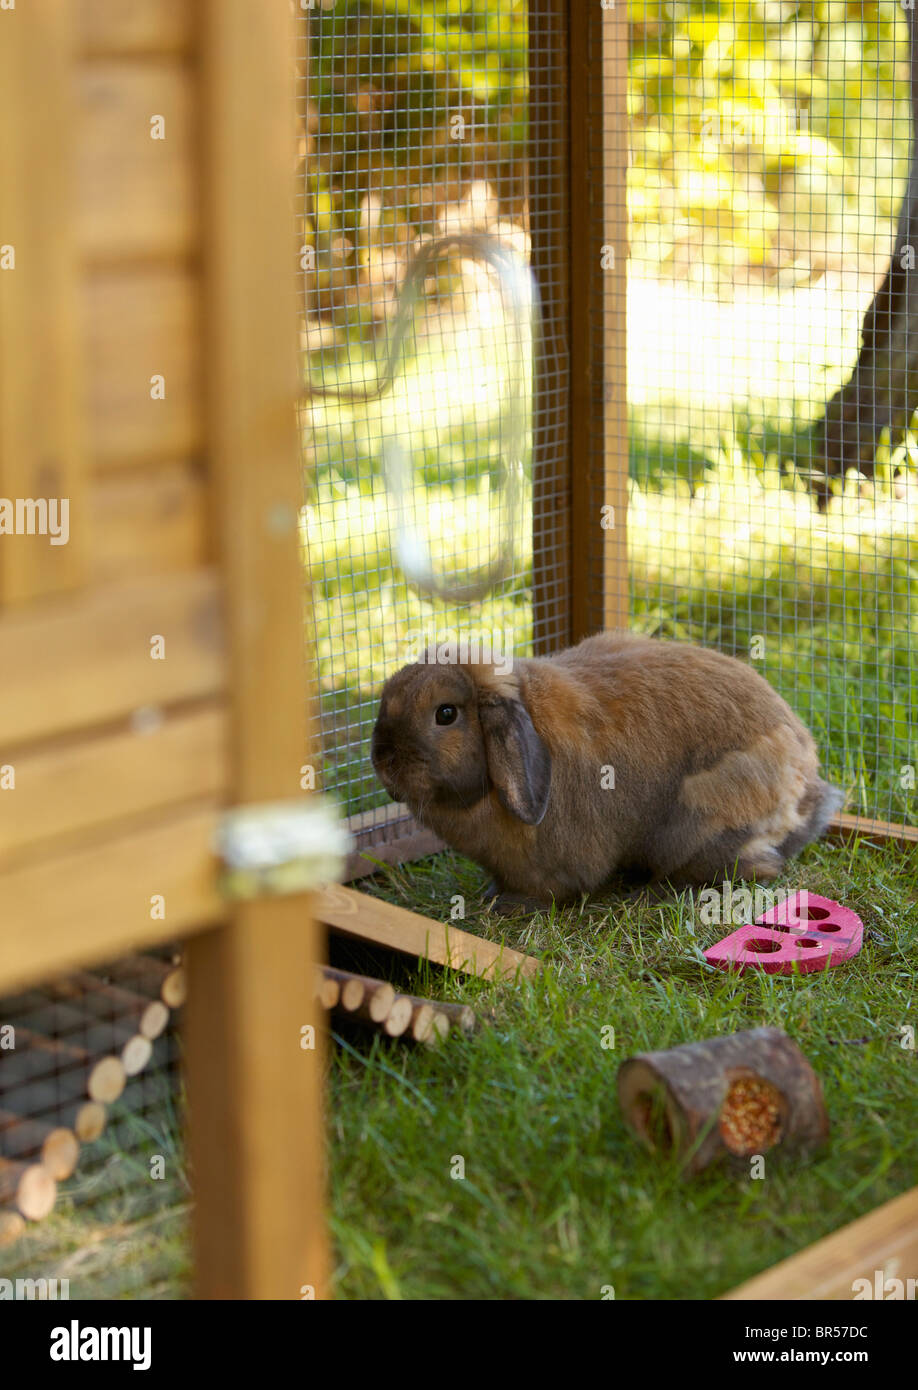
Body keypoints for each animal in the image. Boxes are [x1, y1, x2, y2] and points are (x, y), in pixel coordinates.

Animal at [370, 631, 843, 912]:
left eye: (445, 714)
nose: (383, 762)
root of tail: (806, 786)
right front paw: (489, 893)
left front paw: (507, 904)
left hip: (701, 822)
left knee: (756, 868)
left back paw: (653, 891)